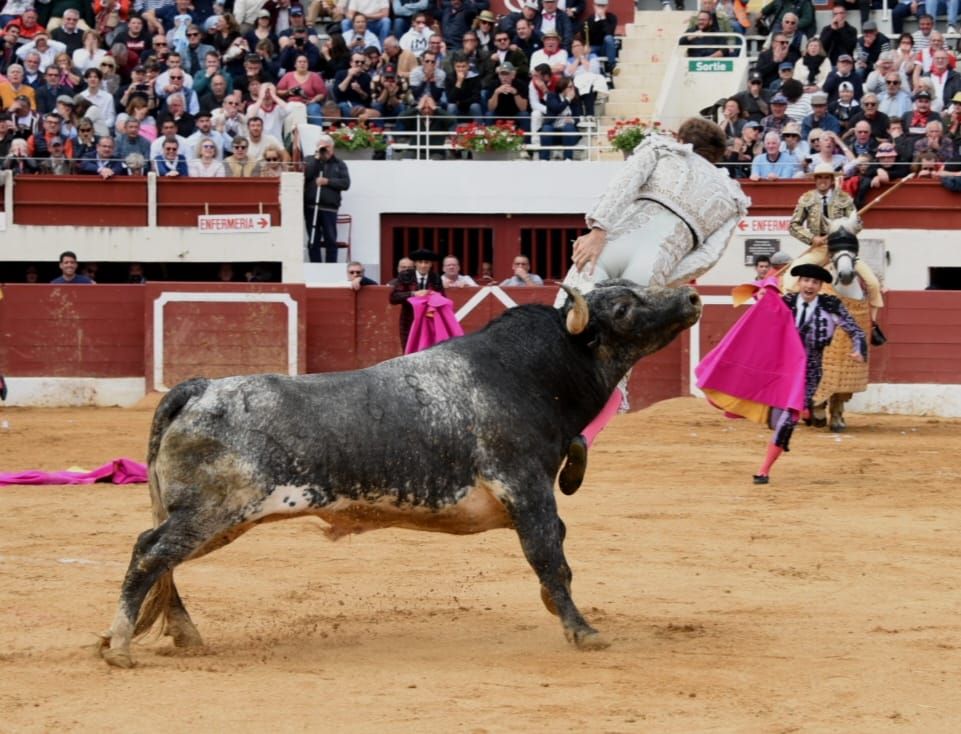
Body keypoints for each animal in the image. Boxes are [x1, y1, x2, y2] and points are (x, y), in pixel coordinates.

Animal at [95, 280, 696, 668]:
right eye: (624, 306)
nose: (691, 297)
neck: (533, 373)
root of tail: (200, 387)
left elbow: (558, 552)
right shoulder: (526, 489)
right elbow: (551, 555)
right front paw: (582, 630)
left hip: (216, 519)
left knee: (158, 556)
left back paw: (181, 635)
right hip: (213, 512)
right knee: (150, 554)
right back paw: (122, 647)